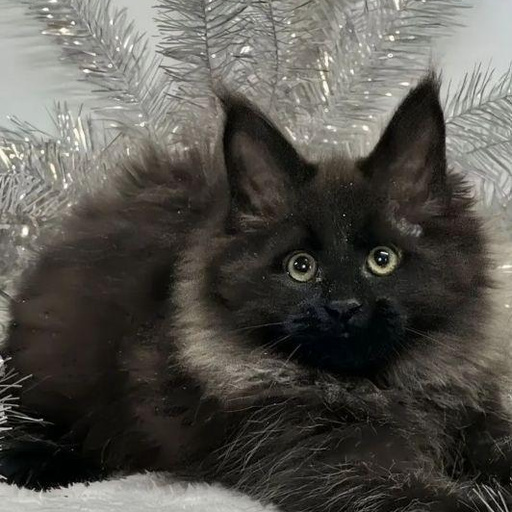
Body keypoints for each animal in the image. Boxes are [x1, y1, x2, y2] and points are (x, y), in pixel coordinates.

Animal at [1, 74, 512, 512]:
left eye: (382, 259)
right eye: (300, 267)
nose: (343, 308)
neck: (380, 388)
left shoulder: (478, 417)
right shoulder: (323, 457)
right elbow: (433, 497)